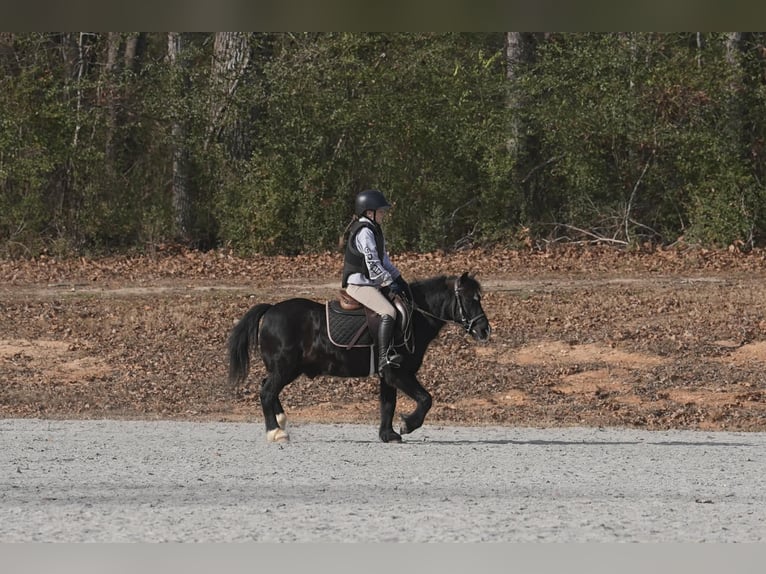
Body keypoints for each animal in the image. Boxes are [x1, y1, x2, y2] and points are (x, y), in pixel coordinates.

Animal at [227, 272, 491, 443]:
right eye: (471, 299)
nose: (485, 330)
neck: (413, 315)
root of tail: (271, 309)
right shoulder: (398, 373)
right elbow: (426, 399)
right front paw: (407, 425)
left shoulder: (387, 375)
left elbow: (388, 404)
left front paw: (388, 435)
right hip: (284, 368)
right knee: (266, 392)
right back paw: (276, 432)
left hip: (287, 369)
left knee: (268, 389)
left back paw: (281, 422)